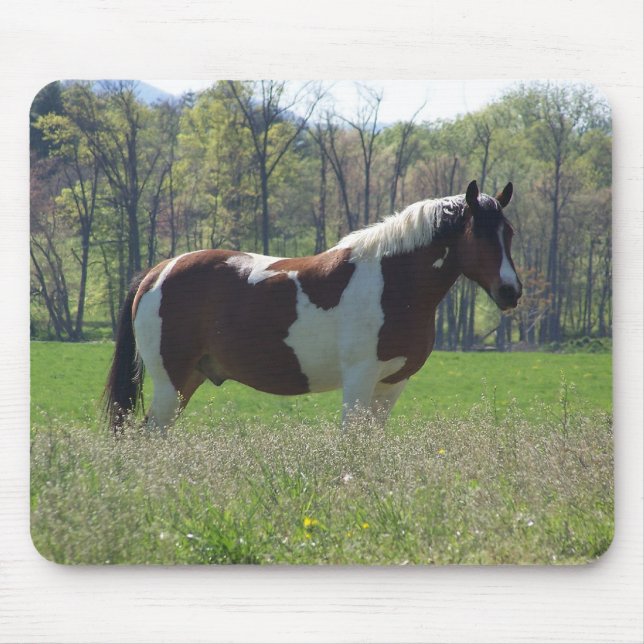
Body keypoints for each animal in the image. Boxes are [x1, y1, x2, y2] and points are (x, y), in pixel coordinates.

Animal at [105, 180, 522, 432]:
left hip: (187, 381)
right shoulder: (359, 380)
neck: (392, 283)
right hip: (169, 384)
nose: (511, 291)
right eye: (478, 233)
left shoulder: (391, 384)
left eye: (509, 233)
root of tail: (155, 273)